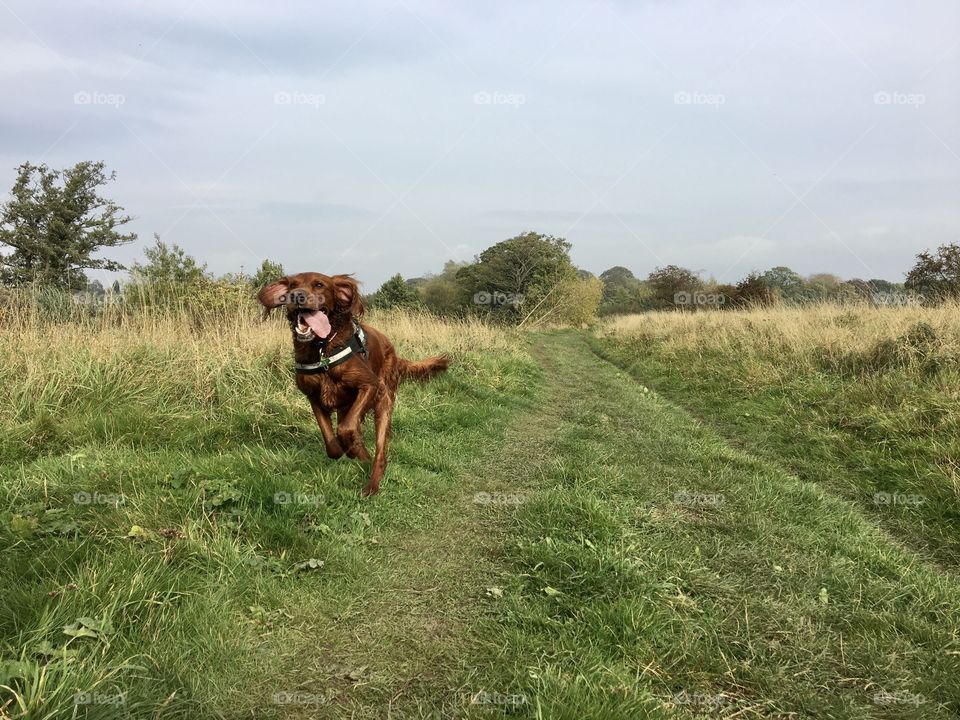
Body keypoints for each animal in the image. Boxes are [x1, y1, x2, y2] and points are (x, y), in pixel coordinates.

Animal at [256, 270, 448, 496]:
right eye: (292, 285)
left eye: (319, 285)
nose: (297, 296)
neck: (322, 348)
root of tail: (392, 349)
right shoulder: (313, 396)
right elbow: (332, 444)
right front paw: (348, 451)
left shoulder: (369, 385)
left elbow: (346, 429)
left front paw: (359, 453)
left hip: (383, 400)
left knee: (379, 449)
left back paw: (372, 484)